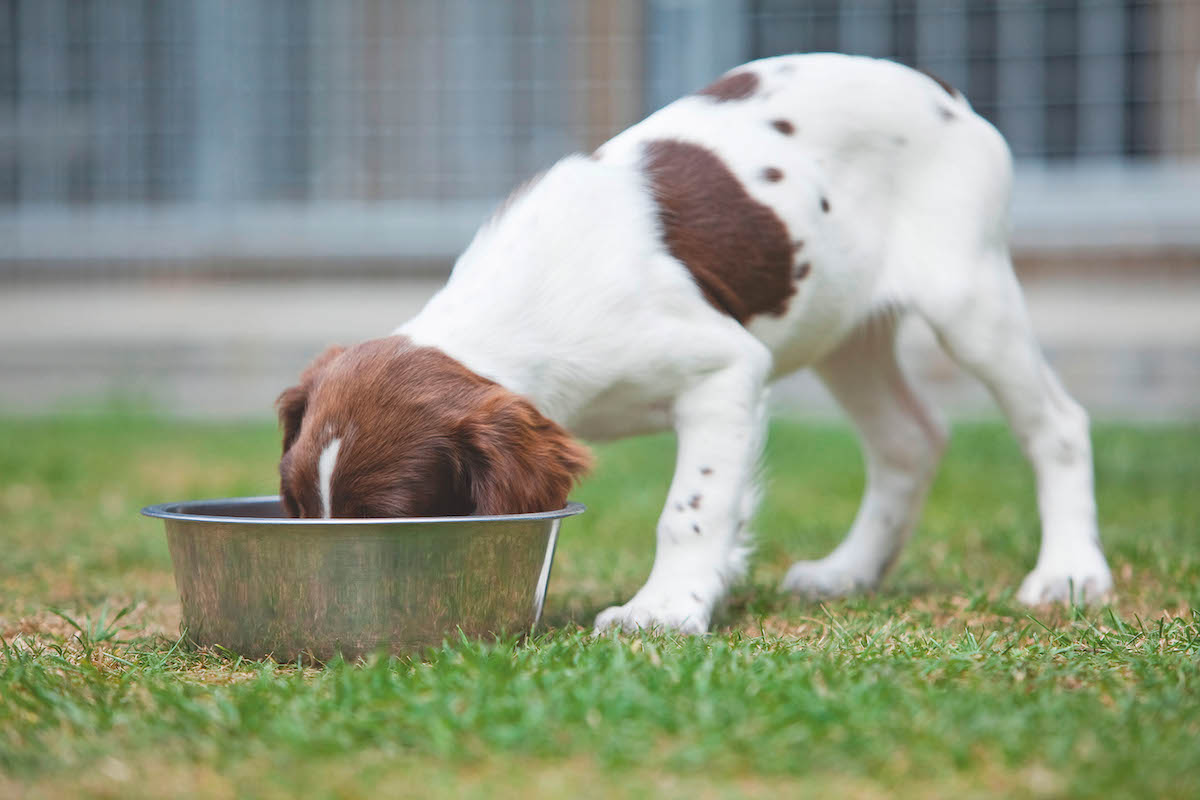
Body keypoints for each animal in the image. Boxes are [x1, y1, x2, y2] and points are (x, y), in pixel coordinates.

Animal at [276, 53, 1108, 633]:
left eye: (391, 522)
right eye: (294, 509)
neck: (508, 318)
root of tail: (942, 88)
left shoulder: (724, 368)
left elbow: (692, 507)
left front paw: (665, 608)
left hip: (969, 297)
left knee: (1056, 425)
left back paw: (1069, 573)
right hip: (844, 330)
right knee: (909, 439)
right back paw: (848, 572)